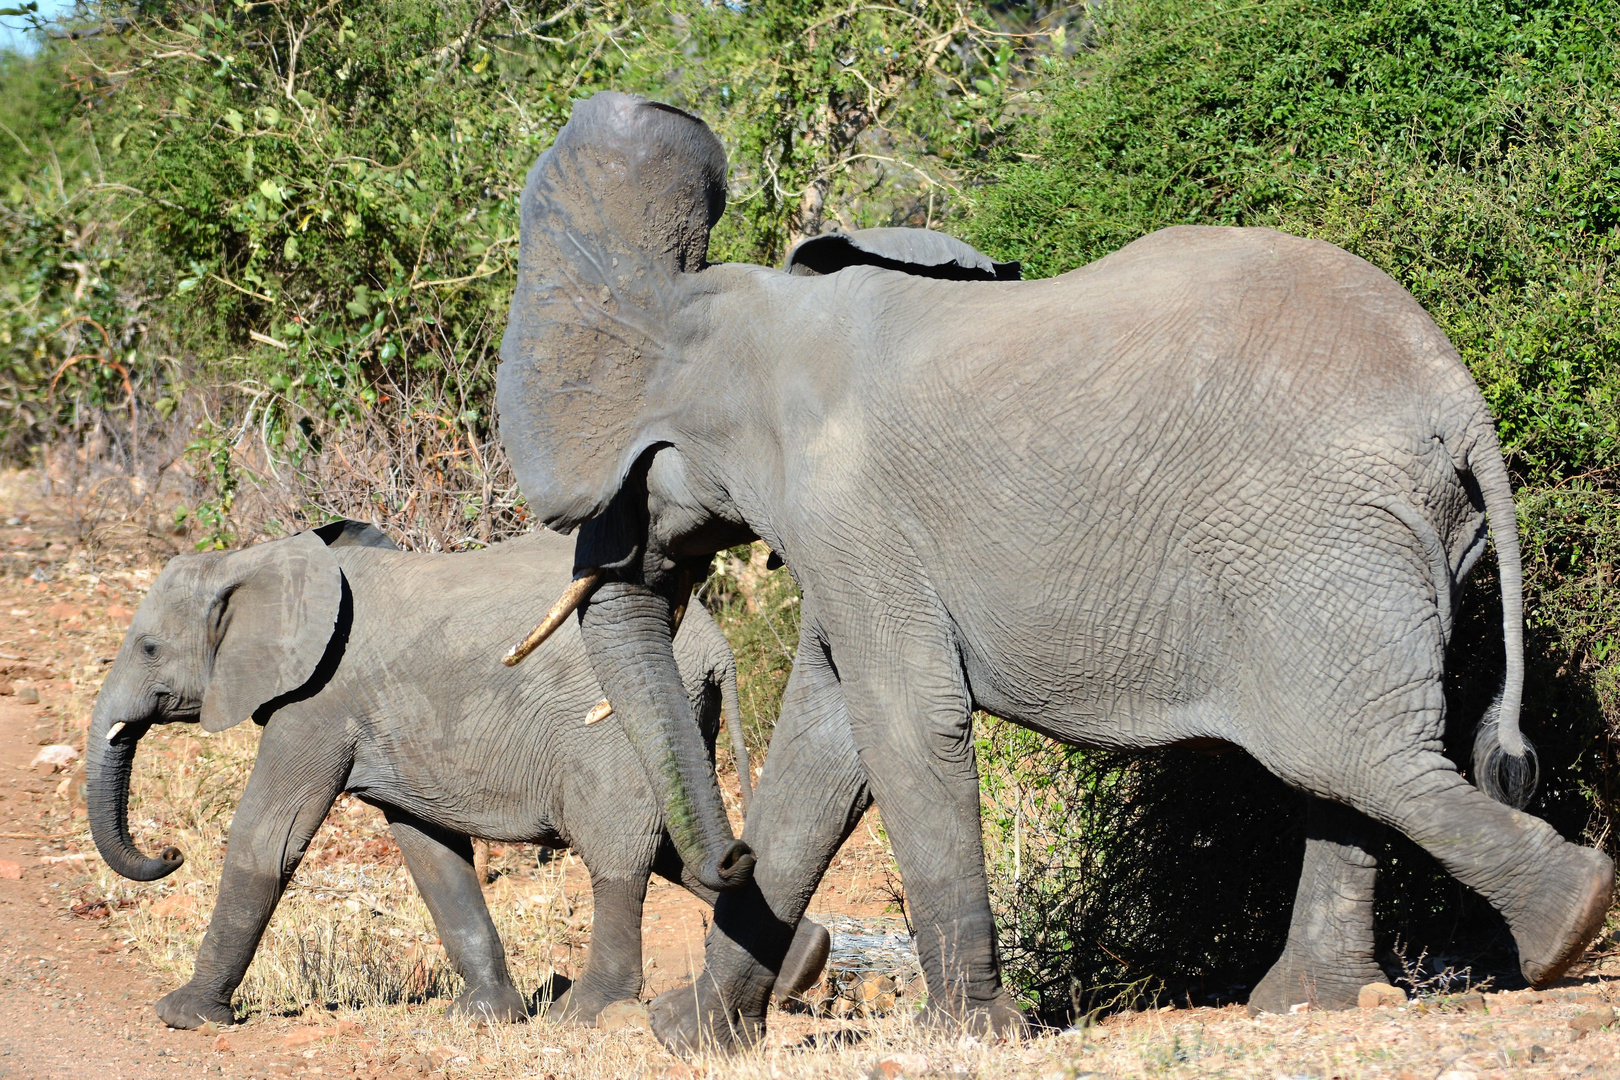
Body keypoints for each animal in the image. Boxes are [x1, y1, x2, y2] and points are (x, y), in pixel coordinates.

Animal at [83, 524, 829, 1029]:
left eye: (148, 648)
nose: (169, 853)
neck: (260, 557)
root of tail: (718, 648)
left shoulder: (317, 702)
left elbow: (269, 840)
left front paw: (182, 1015)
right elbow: (430, 852)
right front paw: (485, 1016)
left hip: (609, 728)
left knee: (618, 852)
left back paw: (584, 1014)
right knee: (679, 844)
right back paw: (804, 967)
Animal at [492, 90, 1607, 1049]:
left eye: (632, 476)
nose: (728, 858)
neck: (750, 313)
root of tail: (1455, 390)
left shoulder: (849, 510)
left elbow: (903, 723)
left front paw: (964, 1035)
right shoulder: (855, 538)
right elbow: (827, 740)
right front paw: (689, 1036)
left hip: (1316, 533)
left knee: (1350, 753)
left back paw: (1567, 930)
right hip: (1390, 534)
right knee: (1345, 761)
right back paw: (1307, 1003)